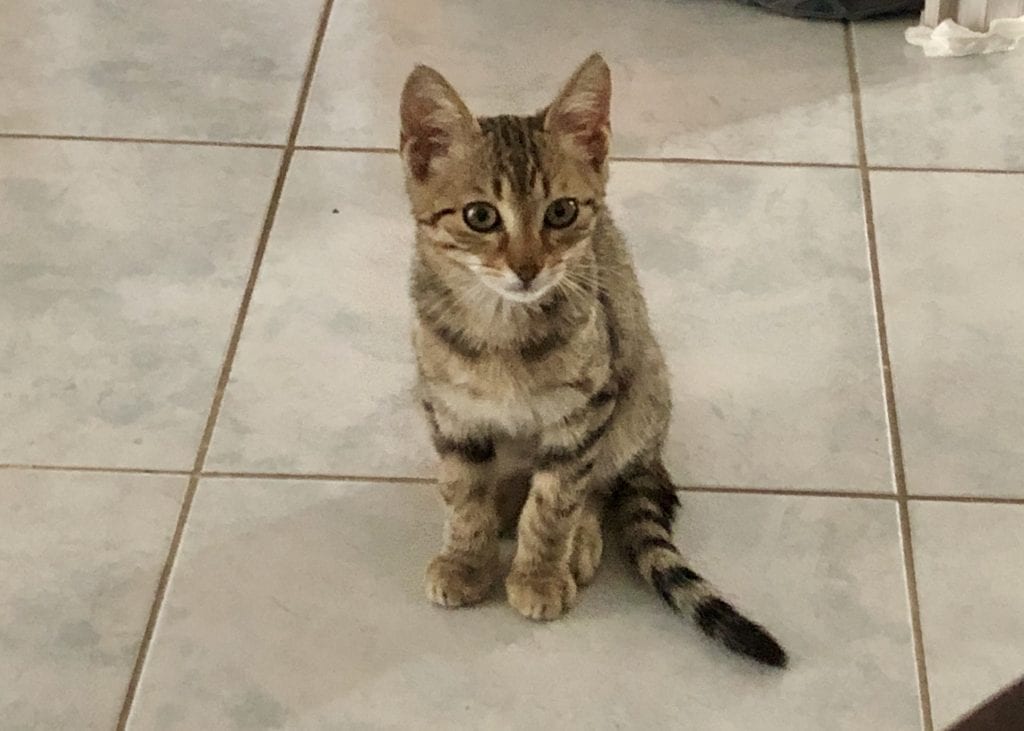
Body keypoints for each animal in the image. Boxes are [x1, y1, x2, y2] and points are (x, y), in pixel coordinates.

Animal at [397, 54, 782, 663]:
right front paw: (466, 558)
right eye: (481, 216)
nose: (528, 268)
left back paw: (578, 535)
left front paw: (539, 572)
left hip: (640, 386)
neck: (500, 330)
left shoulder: (587, 407)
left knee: (600, 480)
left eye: (562, 211)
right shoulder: (448, 407)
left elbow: (558, 499)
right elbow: (462, 489)